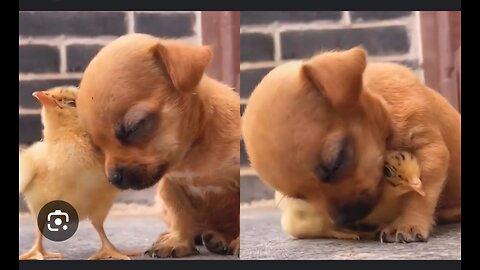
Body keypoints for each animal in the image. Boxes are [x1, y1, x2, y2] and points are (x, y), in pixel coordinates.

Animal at [77, 33, 240, 258]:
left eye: (134, 127)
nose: (113, 178)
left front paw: (239, 243)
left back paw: (218, 237)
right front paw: (177, 241)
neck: (191, 155)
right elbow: (181, 215)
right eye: (96, 146)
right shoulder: (171, 188)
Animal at [244, 47, 462, 244]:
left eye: (337, 162)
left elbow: (419, 196)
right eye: (299, 197)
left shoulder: (429, 148)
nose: (345, 221)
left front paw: (408, 223)